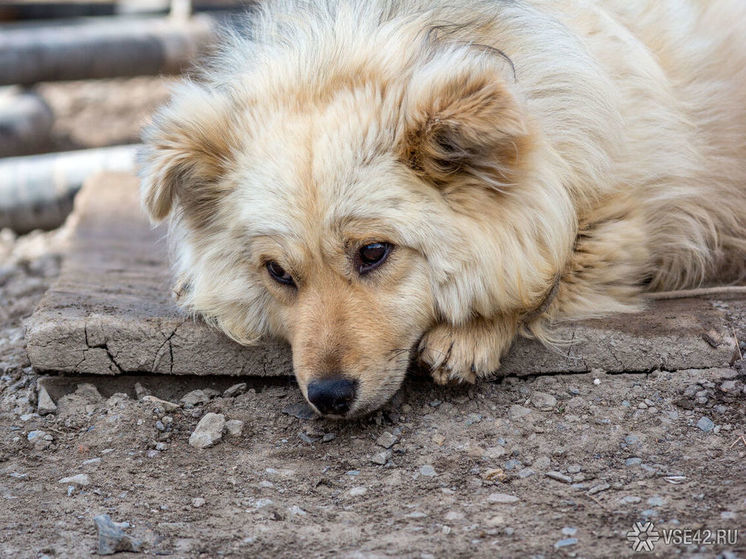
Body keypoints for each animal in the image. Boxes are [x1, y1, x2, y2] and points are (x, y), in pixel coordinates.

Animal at [140, 0, 744, 418]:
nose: (329, 396)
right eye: (277, 272)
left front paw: (471, 332)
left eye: (373, 253)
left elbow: (543, 269)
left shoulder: (620, 224)